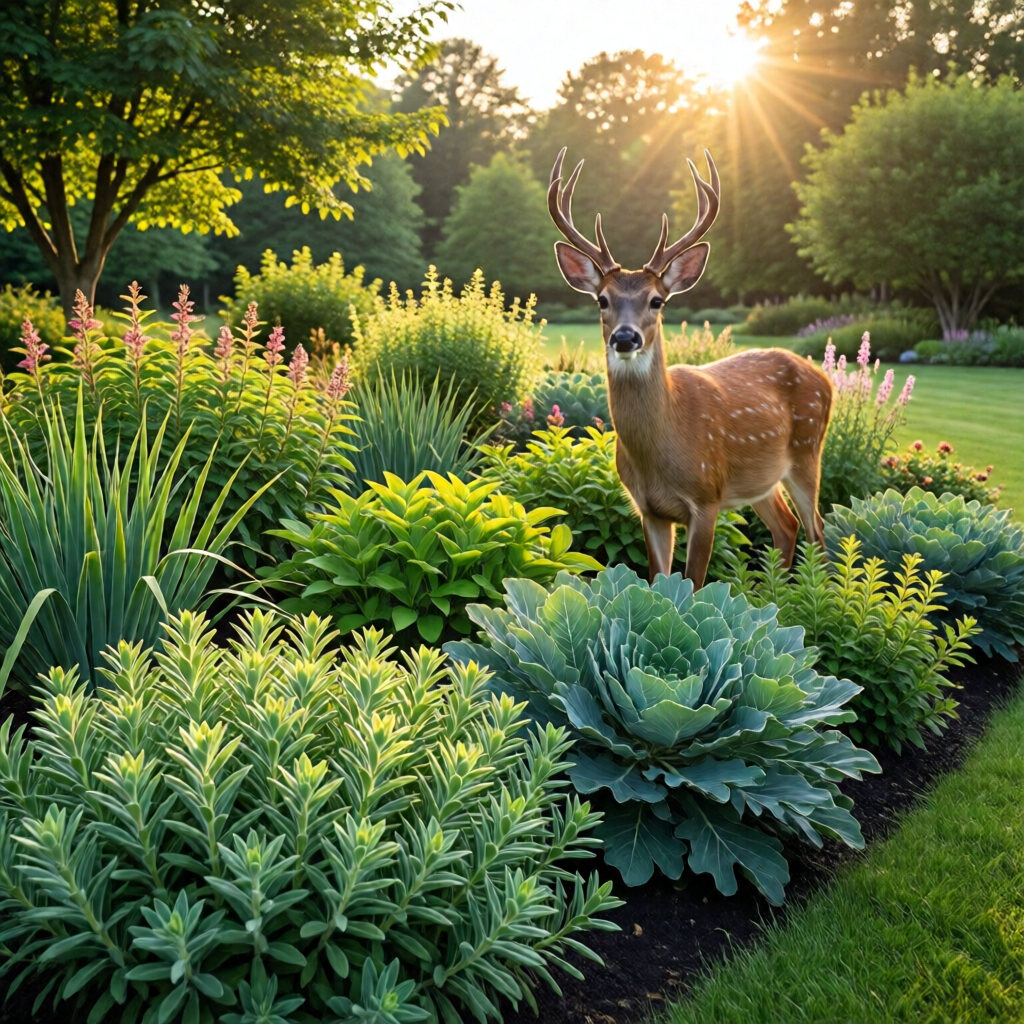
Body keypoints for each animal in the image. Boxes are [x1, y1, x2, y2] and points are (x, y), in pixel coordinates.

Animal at [548, 147, 833, 588]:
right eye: (602, 299)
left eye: (657, 300)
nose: (625, 338)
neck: (662, 452)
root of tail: (826, 379)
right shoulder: (648, 509)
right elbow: (657, 582)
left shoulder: (707, 497)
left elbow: (694, 586)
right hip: (762, 477)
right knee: (787, 527)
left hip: (807, 450)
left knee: (817, 529)